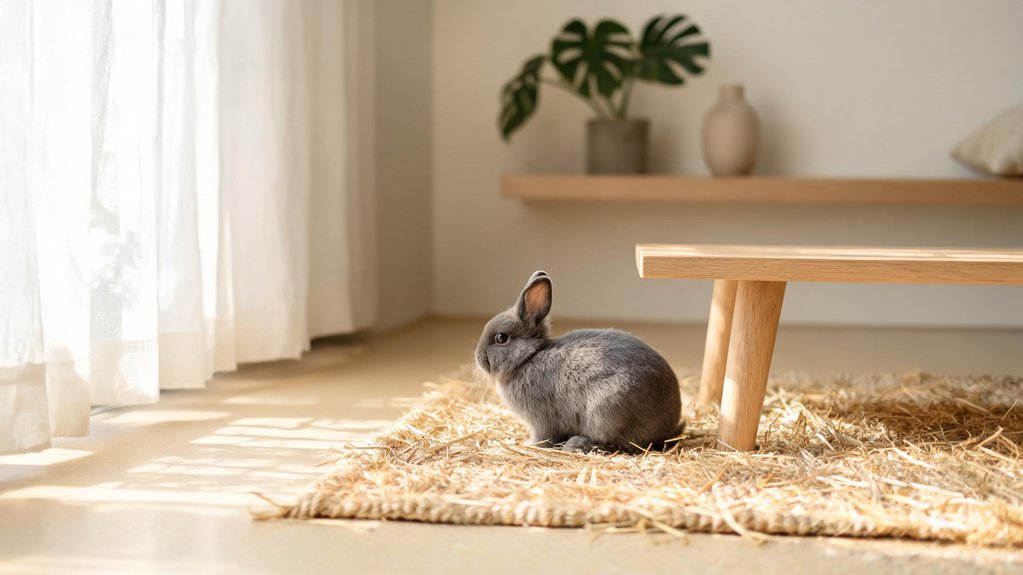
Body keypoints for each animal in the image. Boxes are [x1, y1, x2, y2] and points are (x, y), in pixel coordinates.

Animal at [475, 270, 683, 454]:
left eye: (501, 338)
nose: (478, 357)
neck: (529, 357)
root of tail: (669, 427)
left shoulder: (541, 422)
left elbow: (543, 438)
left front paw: (529, 445)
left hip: (606, 413)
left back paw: (577, 444)